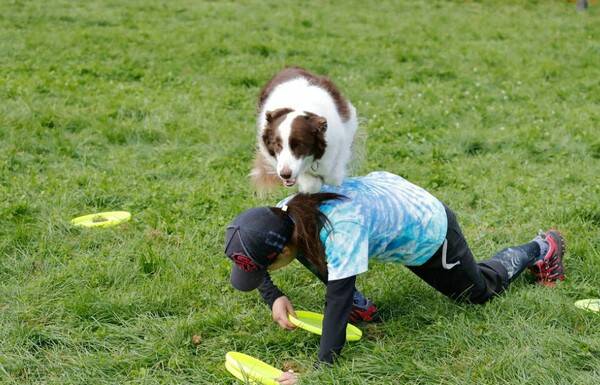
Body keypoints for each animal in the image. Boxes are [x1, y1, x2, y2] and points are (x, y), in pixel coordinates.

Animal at [248, 66, 356, 194]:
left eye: (299, 144)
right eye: (277, 144)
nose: (285, 175)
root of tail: (290, 67)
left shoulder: (345, 126)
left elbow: (335, 173)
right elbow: (311, 184)